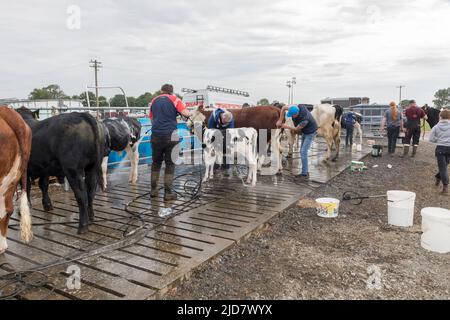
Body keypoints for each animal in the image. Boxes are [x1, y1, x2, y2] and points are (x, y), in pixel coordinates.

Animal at [16, 106, 106, 234]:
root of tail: (82, 115)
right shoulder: (45, 167)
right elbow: (43, 185)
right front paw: (47, 205)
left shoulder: (24, 169)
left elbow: (26, 188)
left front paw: (24, 209)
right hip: (92, 167)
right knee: (90, 191)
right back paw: (91, 217)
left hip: (73, 170)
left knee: (81, 195)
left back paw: (83, 226)